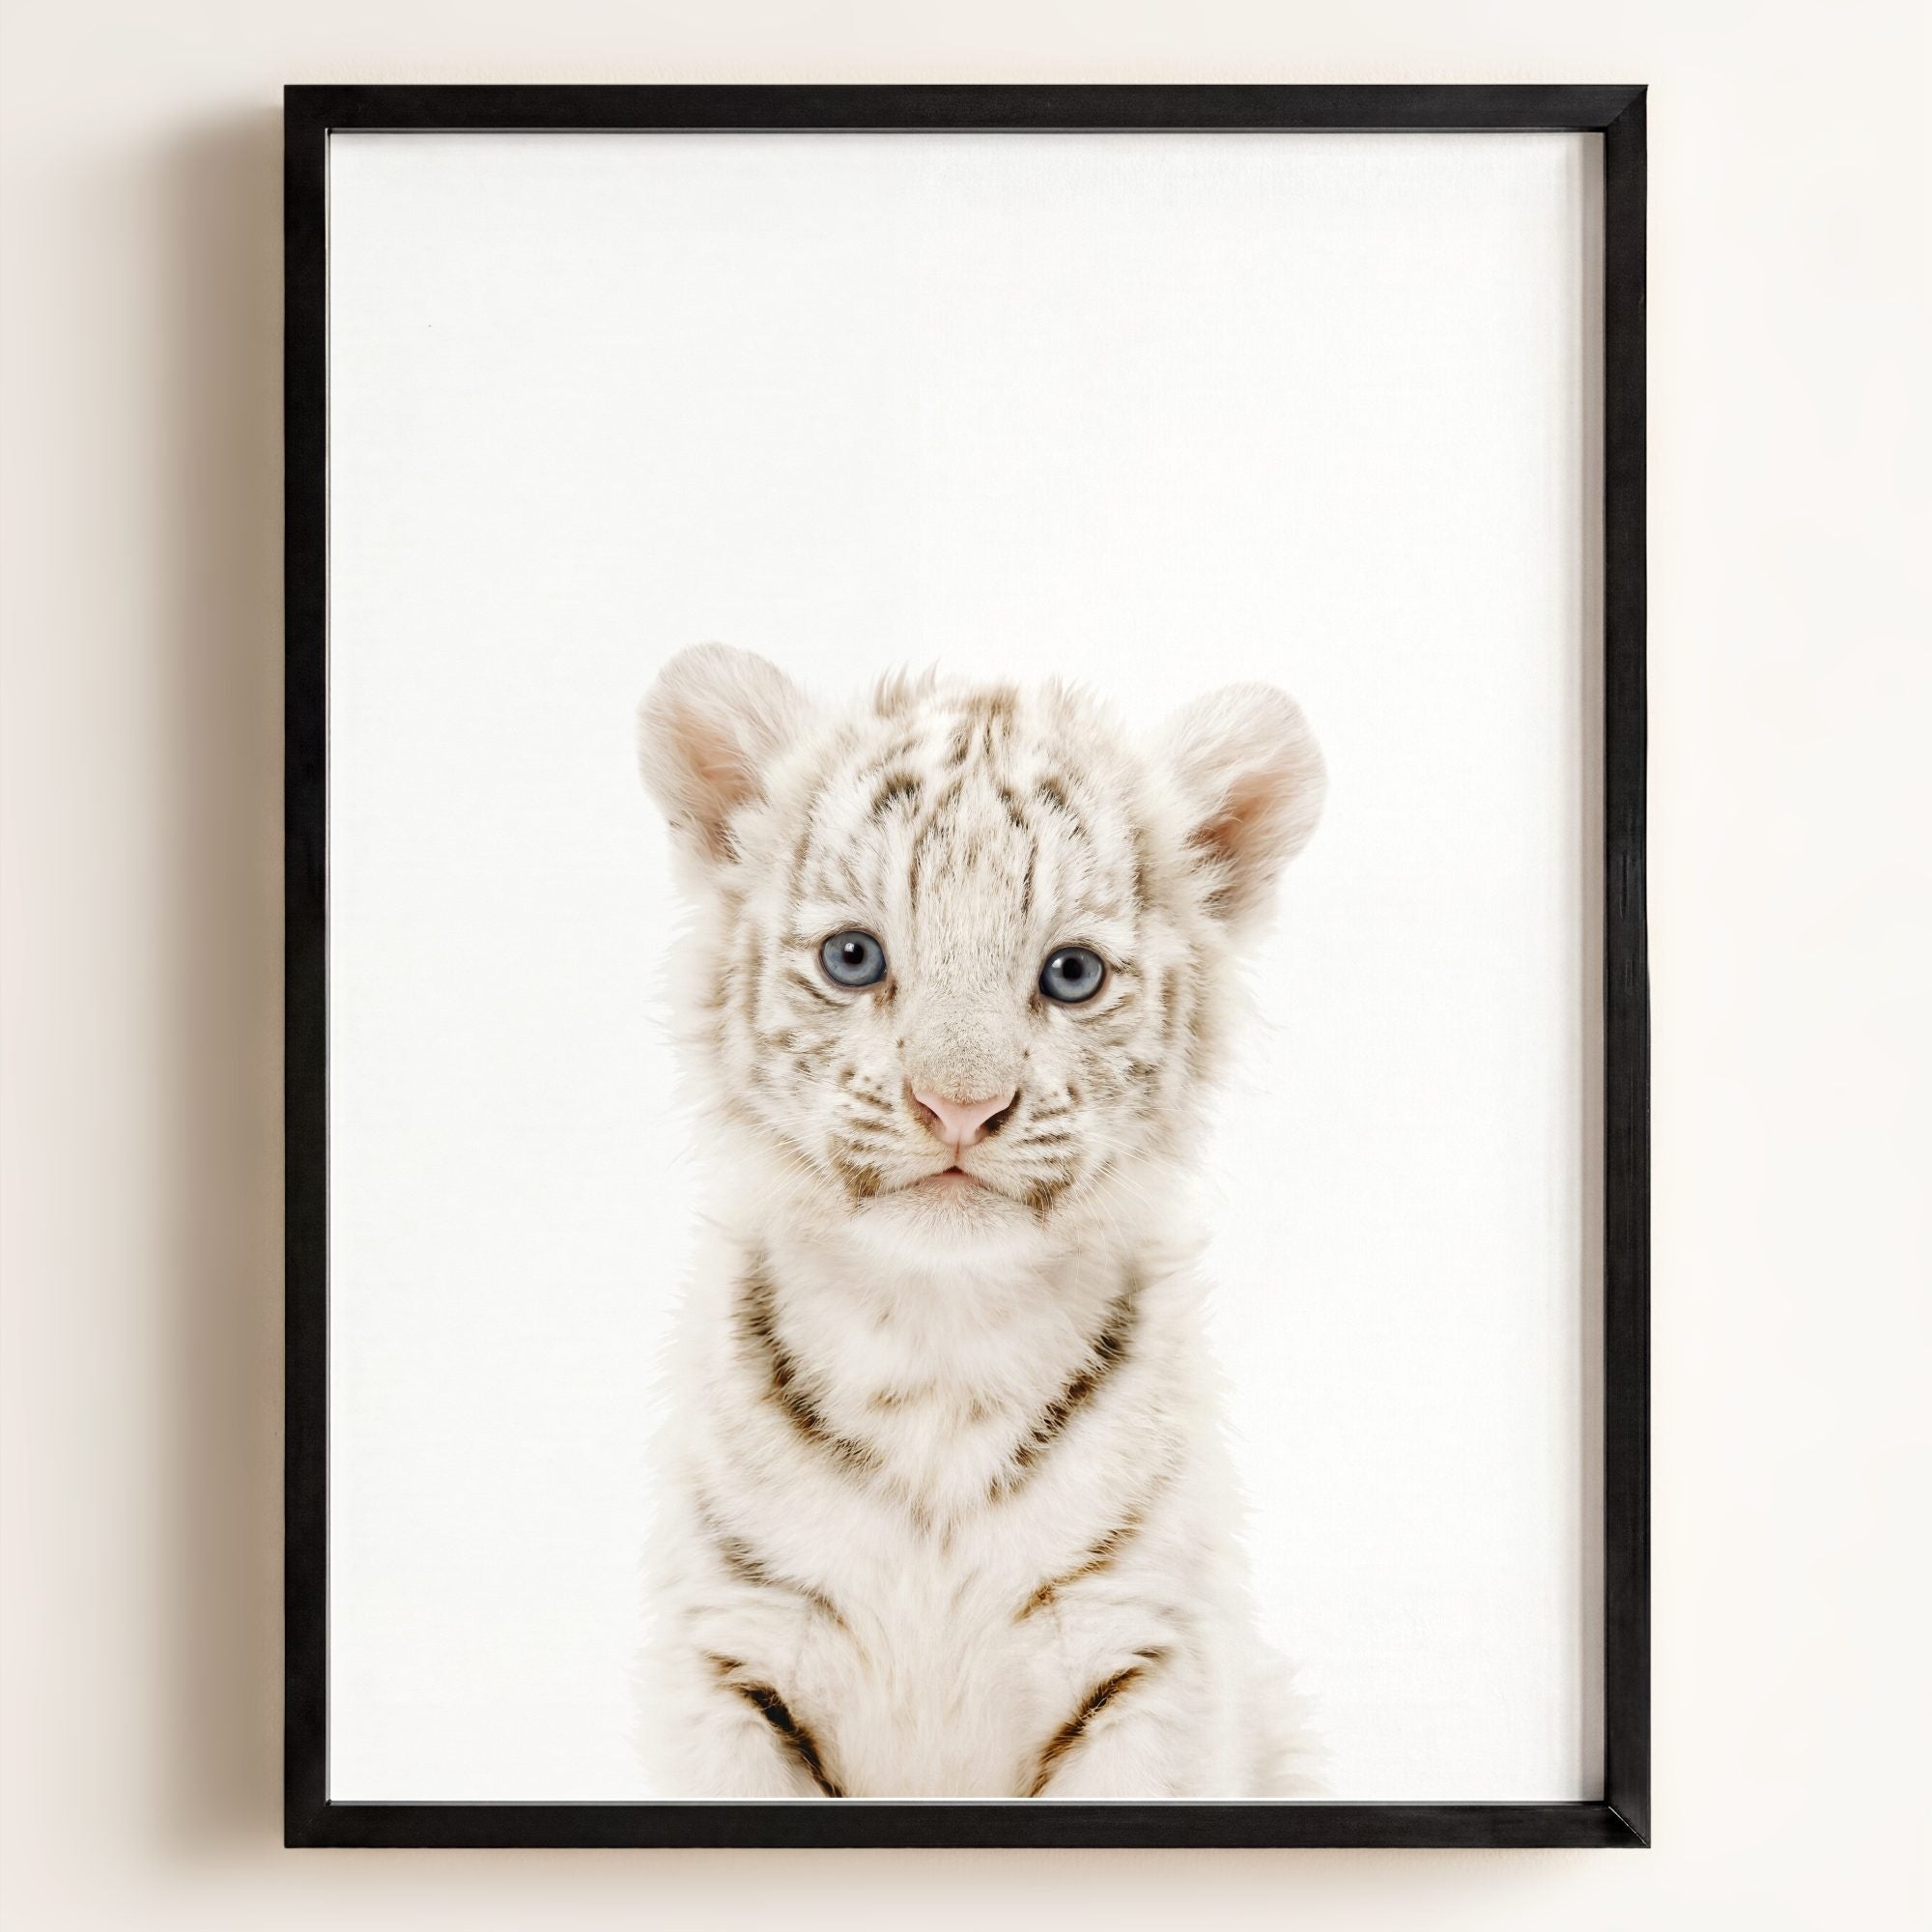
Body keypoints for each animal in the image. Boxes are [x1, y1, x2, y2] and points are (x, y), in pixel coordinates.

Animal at [634, 642, 1326, 1798]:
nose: (958, 1105)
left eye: (1071, 973)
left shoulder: (1143, 1657)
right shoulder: (733, 1654)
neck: (937, 1341)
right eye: (853, 958)